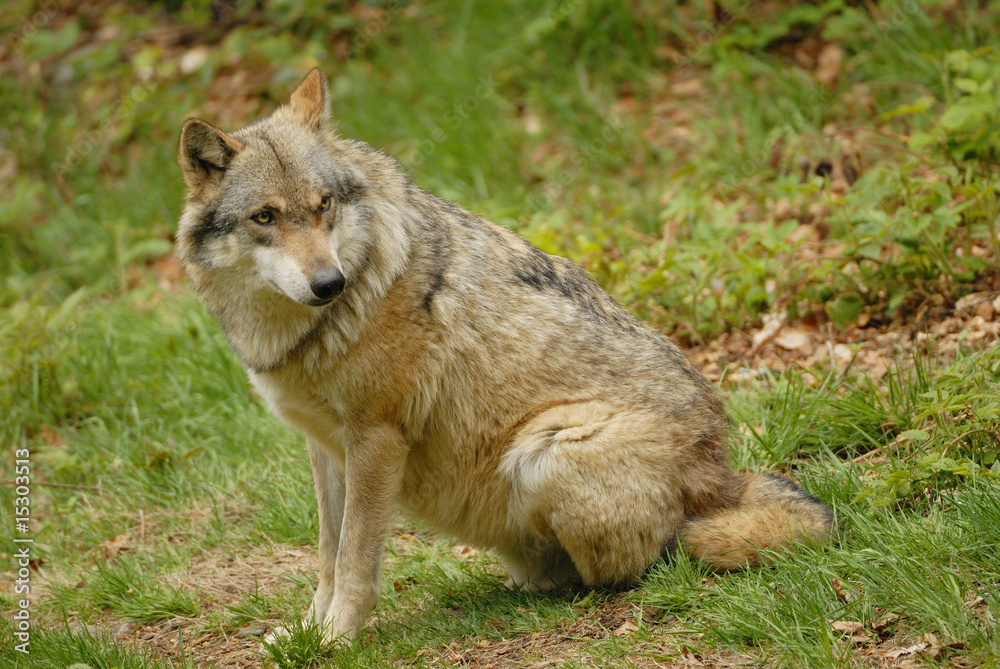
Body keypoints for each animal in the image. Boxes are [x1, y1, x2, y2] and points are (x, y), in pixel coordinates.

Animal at [175, 69, 833, 643]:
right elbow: (327, 558)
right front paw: (307, 634)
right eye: (265, 217)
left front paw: (337, 640)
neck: (315, 326)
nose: (329, 283)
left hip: (546, 451)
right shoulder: (326, 447)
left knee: (650, 563)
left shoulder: (377, 440)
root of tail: (724, 478)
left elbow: (356, 562)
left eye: (324, 205)